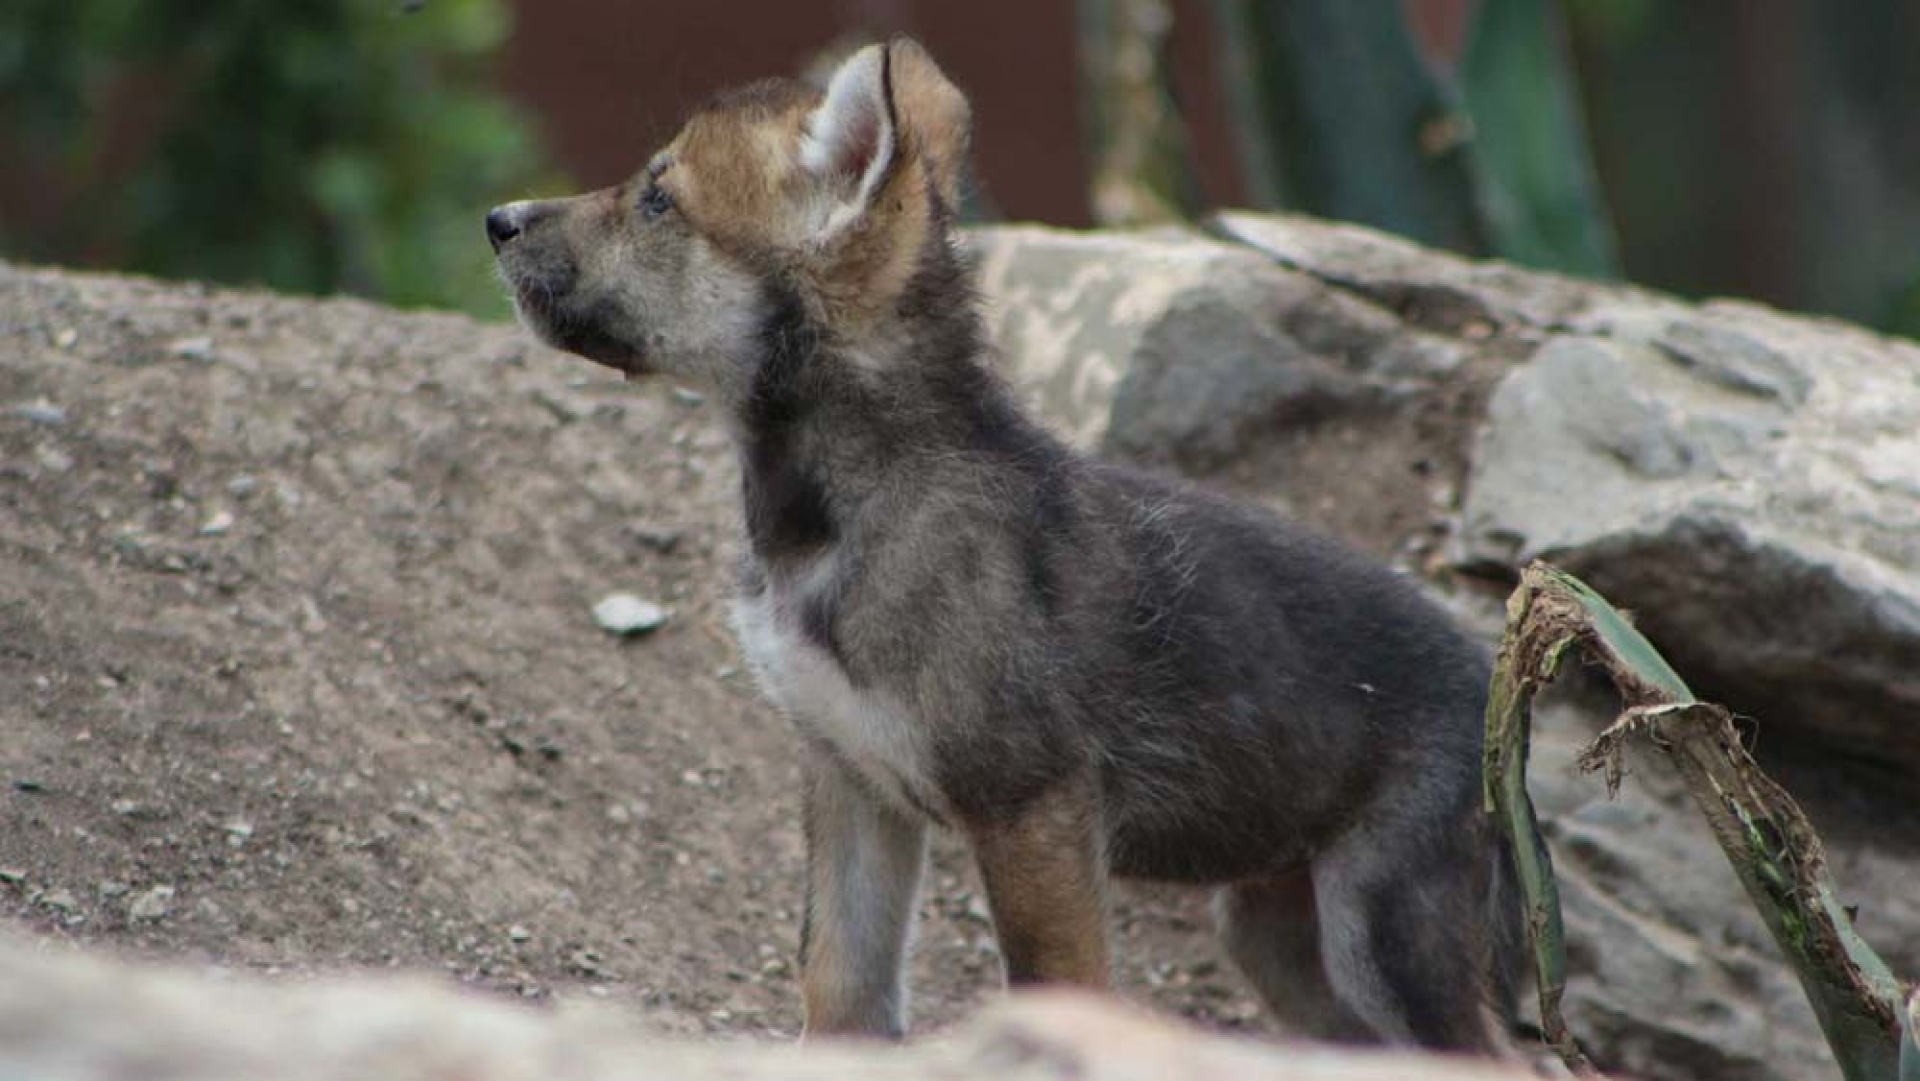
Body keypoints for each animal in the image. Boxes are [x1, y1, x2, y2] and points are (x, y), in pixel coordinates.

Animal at [488, 38, 1525, 1052]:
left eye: (659, 199)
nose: (498, 218)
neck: (830, 516)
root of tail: (1491, 674)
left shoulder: (1034, 809)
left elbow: (1058, 995)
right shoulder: (849, 781)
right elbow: (839, 988)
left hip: (1380, 935)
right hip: (1281, 943)